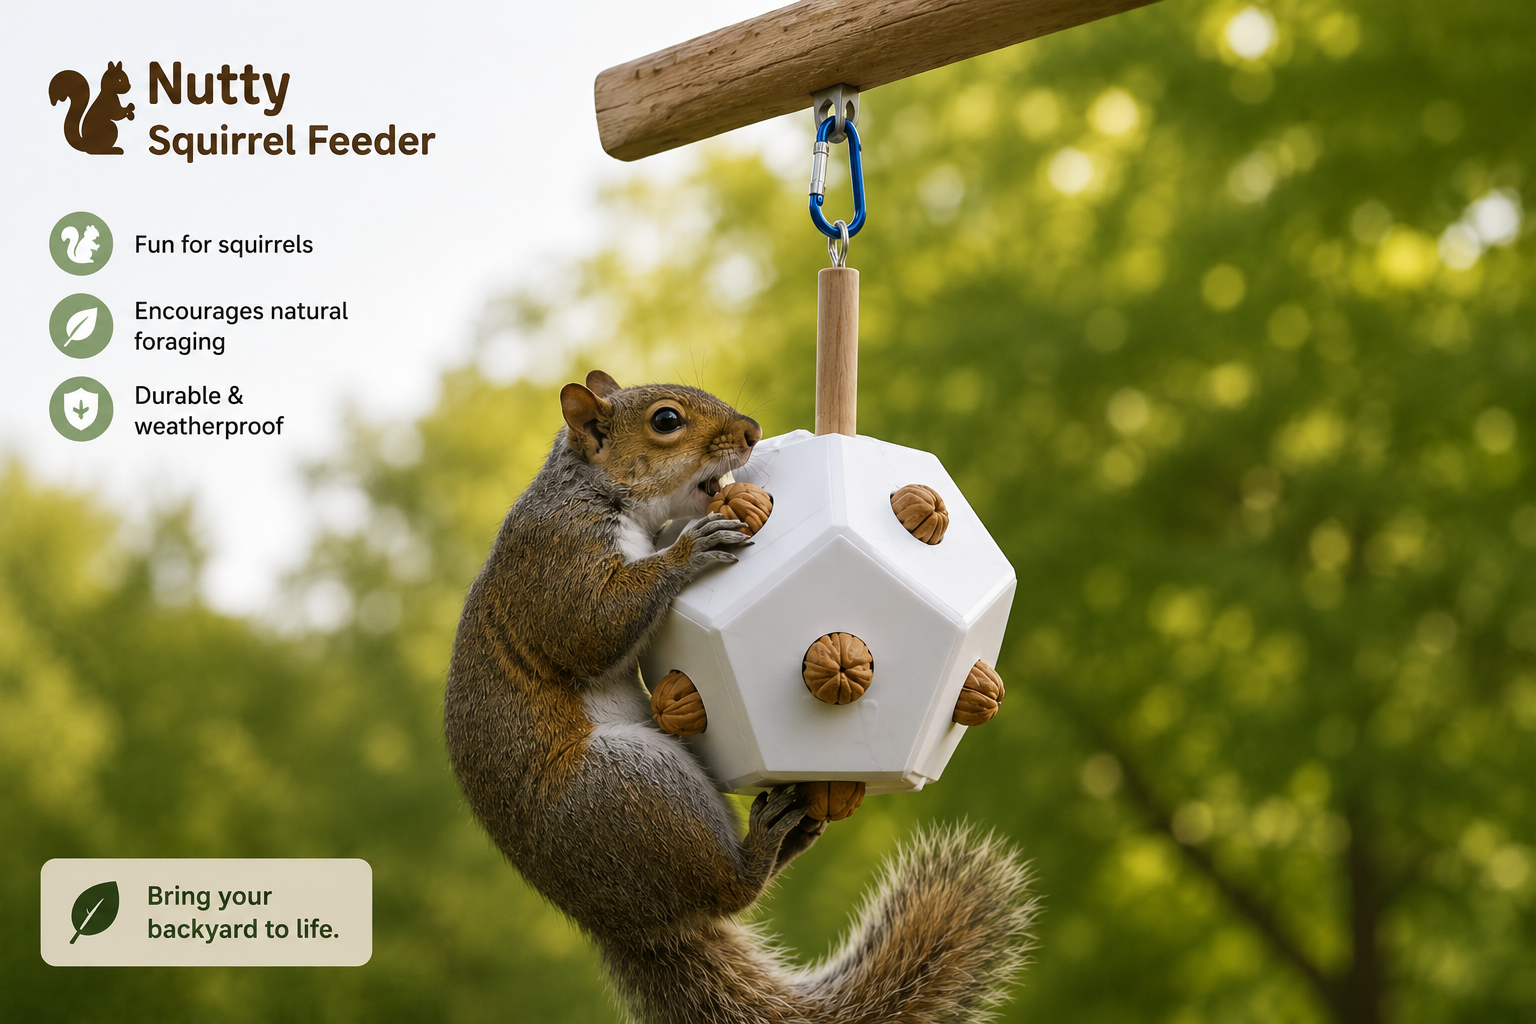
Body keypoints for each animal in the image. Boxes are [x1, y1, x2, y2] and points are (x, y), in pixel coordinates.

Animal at [445, 370, 1037, 1024]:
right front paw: (689, 550)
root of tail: (627, 926)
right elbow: (587, 626)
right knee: (730, 891)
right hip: (631, 789)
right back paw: (761, 848)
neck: (596, 494)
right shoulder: (557, 556)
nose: (752, 431)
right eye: (666, 420)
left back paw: (794, 832)